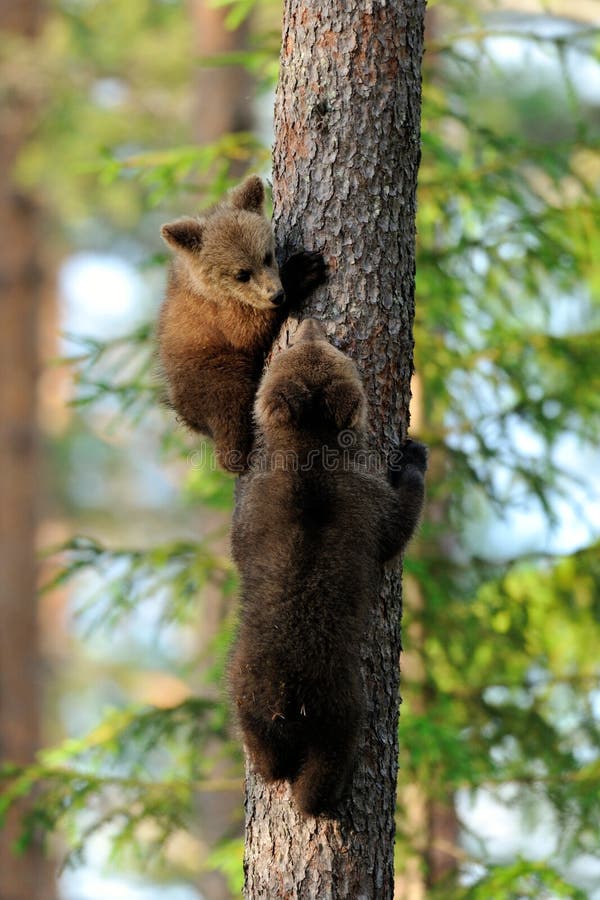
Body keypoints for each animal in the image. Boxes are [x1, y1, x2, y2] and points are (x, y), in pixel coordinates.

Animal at [158, 175, 327, 472]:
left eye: (266, 256)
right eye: (241, 274)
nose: (277, 295)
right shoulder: (218, 316)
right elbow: (247, 331)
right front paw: (302, 270)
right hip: (216, 374)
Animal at [229, 318, 428, 817]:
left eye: (322, 349)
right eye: (301, 349)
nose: (308, 322)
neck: (309, 445)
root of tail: (288, 690)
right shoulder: (366, 501)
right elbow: (399, 524)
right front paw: (414, 455)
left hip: (248, 691)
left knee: (267, 752)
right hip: (337, 703)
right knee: (328, 758)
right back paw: (320, 795)